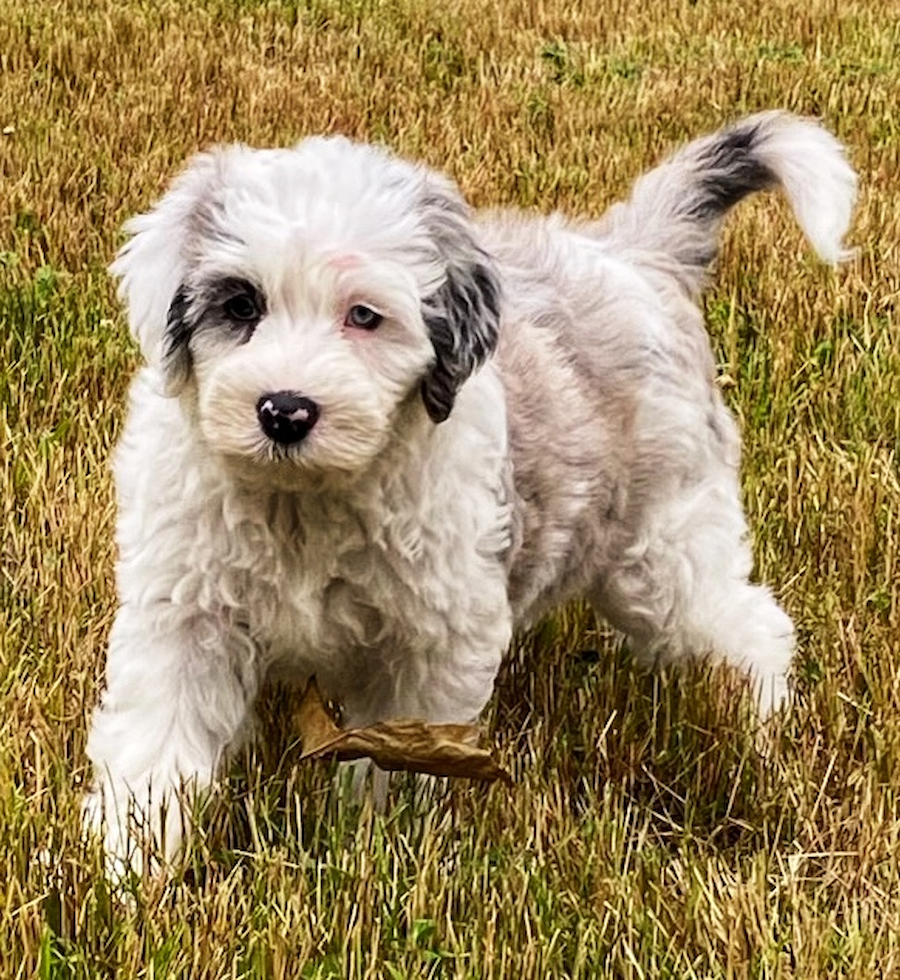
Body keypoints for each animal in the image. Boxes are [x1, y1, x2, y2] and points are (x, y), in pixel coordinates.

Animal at [84, 111, 856, 868]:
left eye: (364, 316)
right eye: (241, 305)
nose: (285, 411)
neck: (303, 499)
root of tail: (631, 254)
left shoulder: (436, 637)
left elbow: (399, 757)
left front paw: (377, 851)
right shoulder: (184, 612)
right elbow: (157, 737)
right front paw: (130, 859)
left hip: (664, 544)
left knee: (748, 624)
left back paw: (760, 723)